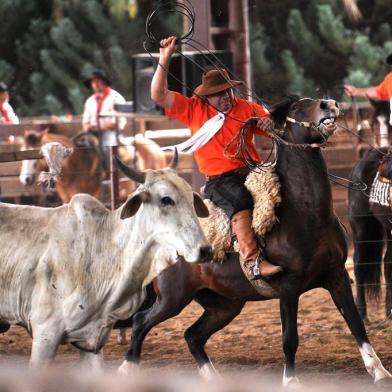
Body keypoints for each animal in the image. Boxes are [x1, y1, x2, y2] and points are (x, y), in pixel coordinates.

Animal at [117, 97, 392, 386]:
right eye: (296, 108)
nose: (328, 104)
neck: (306, 212)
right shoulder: (288, 287)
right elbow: (289, 339)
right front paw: (290, 381)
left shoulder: (336, 276)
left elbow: (356, 324)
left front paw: (379, 371)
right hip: (173, 297)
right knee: (141, 322)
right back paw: (126, 369)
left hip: (224, 305)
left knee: (192, 335)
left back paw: (214, 379)